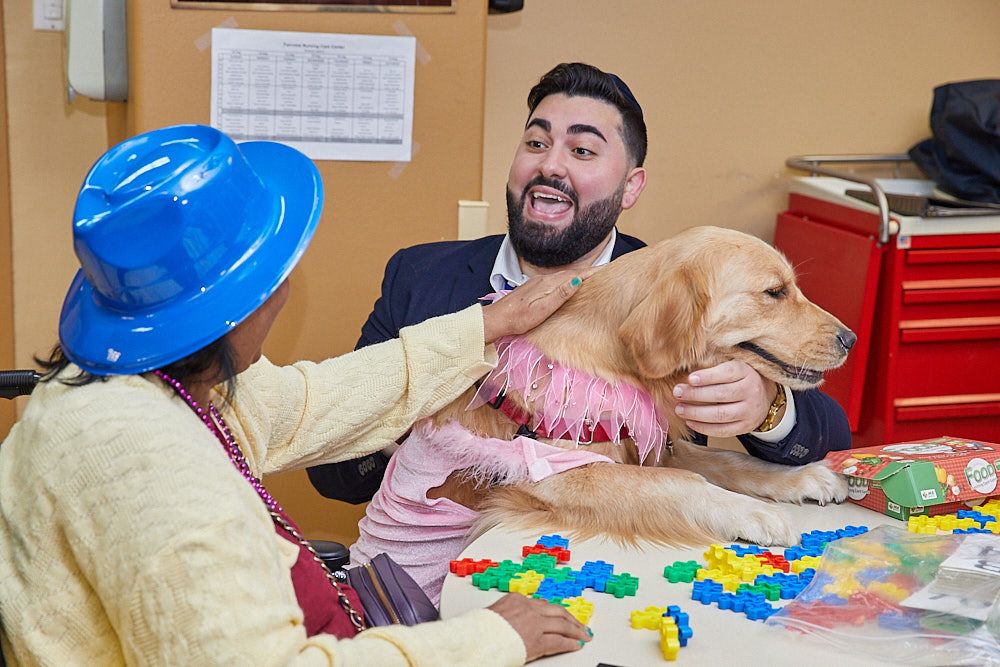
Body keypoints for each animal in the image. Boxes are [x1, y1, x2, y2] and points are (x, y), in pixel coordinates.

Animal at [352, 226, 852, 600]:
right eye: (775, 292)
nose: (850, 339)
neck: (615, 361)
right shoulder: (558, 472)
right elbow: (684, 482)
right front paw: (755, 513)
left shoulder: (651, 444)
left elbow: (730, 460)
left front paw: (803, 477)